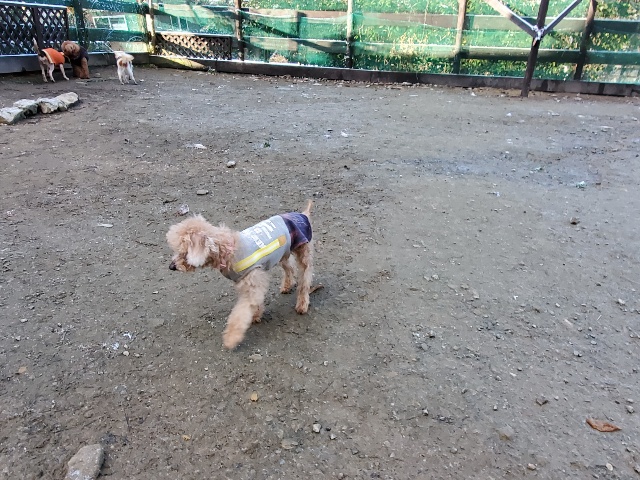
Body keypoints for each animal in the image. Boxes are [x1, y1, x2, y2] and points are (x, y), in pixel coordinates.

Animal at [166, 201, 314, 350]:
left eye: (184, 252)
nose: (171, 267)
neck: (227, 250)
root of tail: (303, 214)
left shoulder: (252, 283)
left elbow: (239, 314)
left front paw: (231, 338)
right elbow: (255, 303)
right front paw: (256, 315)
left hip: (303, 252)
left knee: (305, 279)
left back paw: (302, 304)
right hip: (283, 254)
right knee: (290, 268)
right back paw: (287, 286)